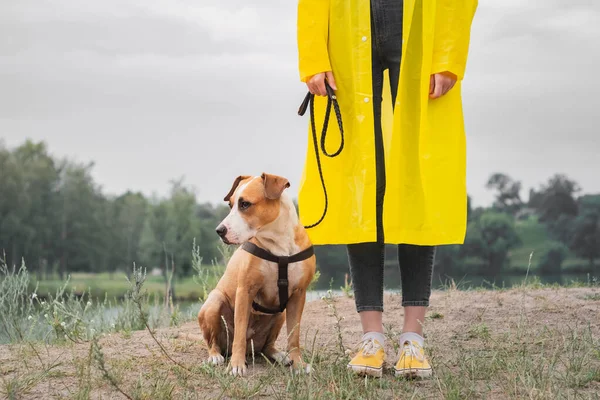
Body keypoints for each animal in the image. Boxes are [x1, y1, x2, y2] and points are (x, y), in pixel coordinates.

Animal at [198, 173, 318, 376]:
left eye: (245, 204)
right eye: (230, 204)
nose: (219, 230)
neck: (278, 243)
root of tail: (251, 347)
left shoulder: (299, 294)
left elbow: (294, 335)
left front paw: (298, 364)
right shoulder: (245, 291)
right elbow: (239, 333)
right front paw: (236, 365)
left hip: (280, 315)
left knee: (267, 347)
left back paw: (281, 356)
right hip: (214, 302)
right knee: (214, 342)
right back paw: (215, 356)